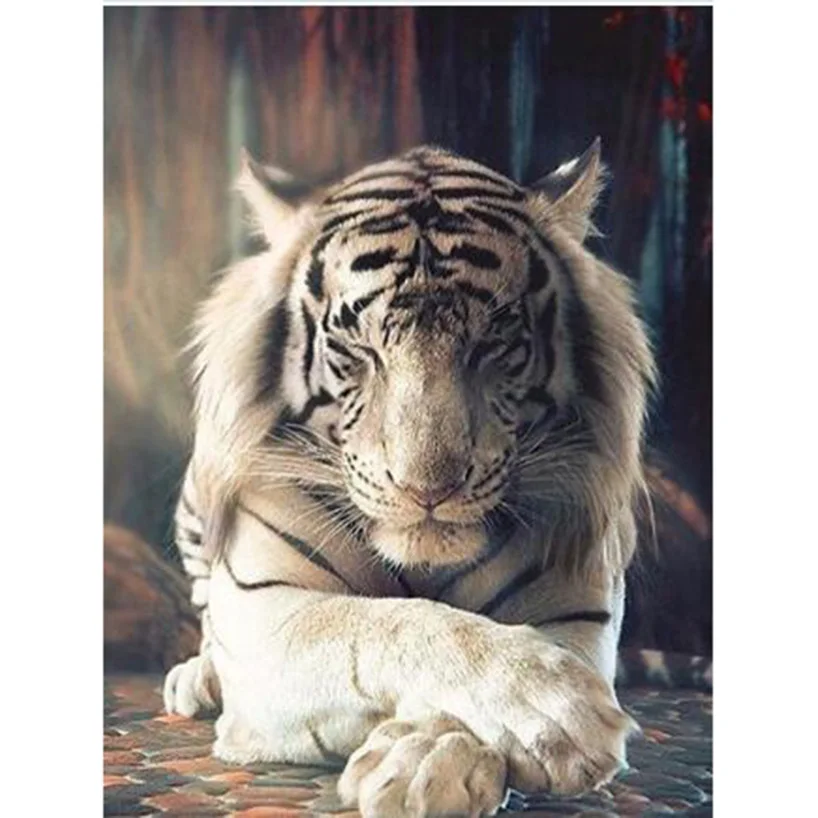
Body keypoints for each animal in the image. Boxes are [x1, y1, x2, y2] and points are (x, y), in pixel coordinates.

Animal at [163, 140, 658, 818]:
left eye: (493, 343)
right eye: (357, 348)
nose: (427, 489)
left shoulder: (576, 613)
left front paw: (428, 760)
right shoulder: (269, 612)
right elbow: (389, 624)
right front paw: (557, 710)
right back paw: (196, 677)